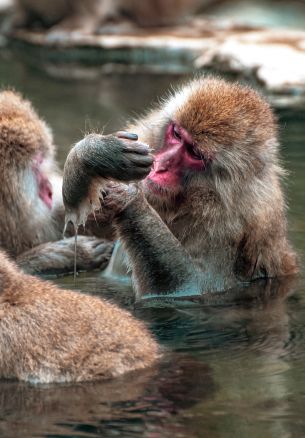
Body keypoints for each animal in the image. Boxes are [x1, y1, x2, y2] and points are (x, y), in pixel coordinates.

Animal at [61, 77, 296, 300]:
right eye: (176, 134)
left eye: (194, 153)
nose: (159, 165)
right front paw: (94, 153)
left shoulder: (231, 226)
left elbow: (191, 286)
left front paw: (129, 198)